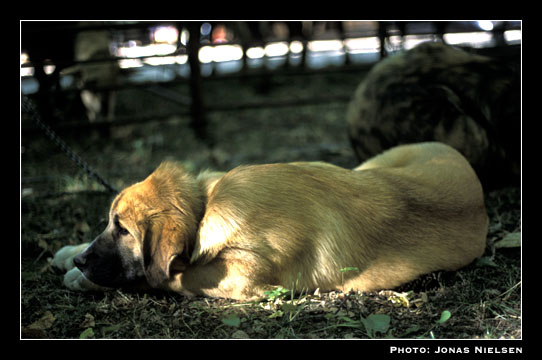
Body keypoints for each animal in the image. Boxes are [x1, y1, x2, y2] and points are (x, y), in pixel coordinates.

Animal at [53, 142, 490, 300]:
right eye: (110, 223)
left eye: (123, 230)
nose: (81, 262)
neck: (206, 206)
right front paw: (70, 257)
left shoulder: (242, 278)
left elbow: (165, 275)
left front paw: (82, 277)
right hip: (366, 166)